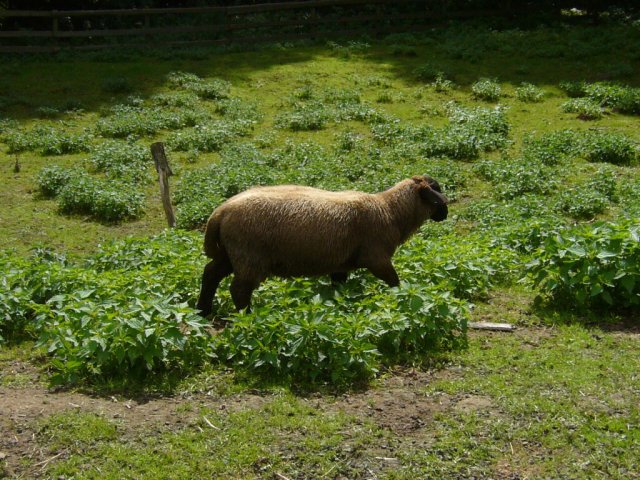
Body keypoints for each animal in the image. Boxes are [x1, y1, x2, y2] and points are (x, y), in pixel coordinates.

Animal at [196, 174, 450, 316]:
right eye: (436, 190)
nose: (445, 213)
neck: (390, 211)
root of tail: (220, 212)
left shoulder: (341, 264)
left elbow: (338, 287)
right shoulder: (377, 258)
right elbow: (395, 282)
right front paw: (402, 299)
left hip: (229, 254)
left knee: (210, 274)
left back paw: (203, 311)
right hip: (249, 256)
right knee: (239, 290)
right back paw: (247, 318)